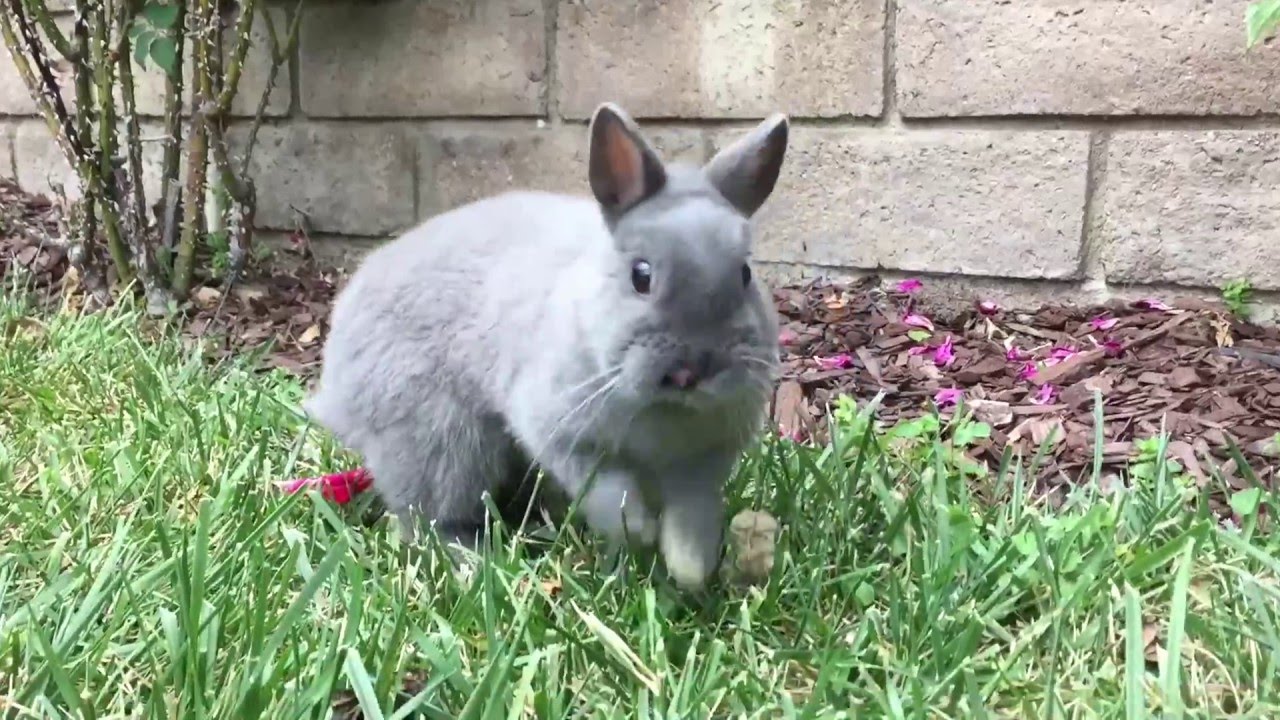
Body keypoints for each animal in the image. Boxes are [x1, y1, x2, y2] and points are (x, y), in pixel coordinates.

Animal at [303, 102, 789, 589]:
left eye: (745, 274)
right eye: (641, 275)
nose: (693, 370)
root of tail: (337, 388)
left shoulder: (699, 465)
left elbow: (692, 519)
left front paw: (690, 571)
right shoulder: (564, 438)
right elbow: (610, 493)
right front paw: (639, 533)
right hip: (440, 442)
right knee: (427, 518)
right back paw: (476, 556)